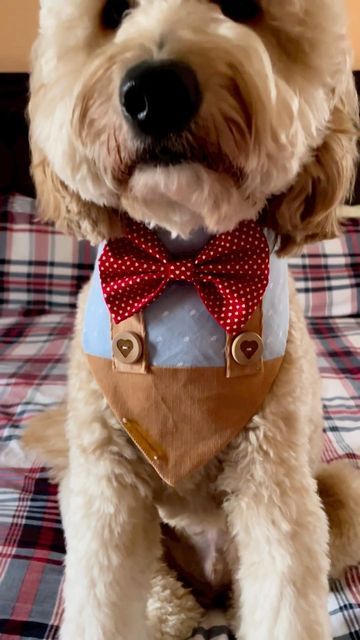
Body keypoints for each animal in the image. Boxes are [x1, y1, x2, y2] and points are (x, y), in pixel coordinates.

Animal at [24, 1, 360, 640]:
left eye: (244, 9)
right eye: (112, 12)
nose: (156, 91)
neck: (183, 267)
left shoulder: (274, 482)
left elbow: (285, 598)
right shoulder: (108, 488)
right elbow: (100, 601)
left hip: (336, 491)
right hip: (89, 497)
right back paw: (171, 611)